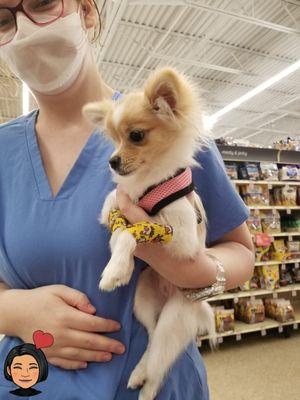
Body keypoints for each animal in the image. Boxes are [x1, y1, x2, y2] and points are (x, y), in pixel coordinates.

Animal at [83, 67, 217, 398]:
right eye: (114, 139)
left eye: (136, 136)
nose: (112, 161)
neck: (148, 182)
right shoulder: (112, 208)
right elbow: (121, 231)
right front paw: (121, 264)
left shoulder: (180, 237)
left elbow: (136, 231)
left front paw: (115, 269)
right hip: (143, 300)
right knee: (152, 337)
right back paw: (138, 373)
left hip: (174, 317)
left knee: (161, 356)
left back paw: (146, 386)